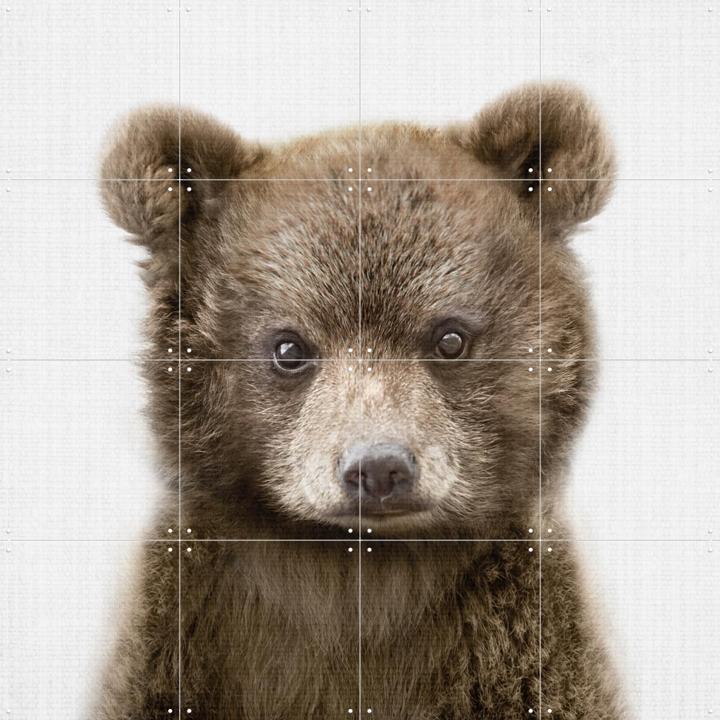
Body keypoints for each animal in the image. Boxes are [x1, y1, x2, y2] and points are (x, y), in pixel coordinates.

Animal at [95, 83, 627, 719]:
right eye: (289, 347)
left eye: (450, 338)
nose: (377, 468)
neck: (356, 572)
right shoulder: (182, 638)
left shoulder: (518, 647)